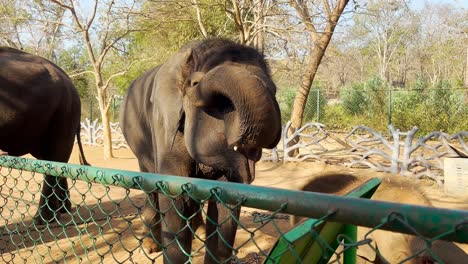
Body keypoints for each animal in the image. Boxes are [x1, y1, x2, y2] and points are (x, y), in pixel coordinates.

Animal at [120, 38, 282, 262]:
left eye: (273, 90)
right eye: (194, 84)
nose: (196, 79)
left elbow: (226, 199)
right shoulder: (164, 126)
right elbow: (175, 194)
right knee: (151, 186)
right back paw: (152, 246)